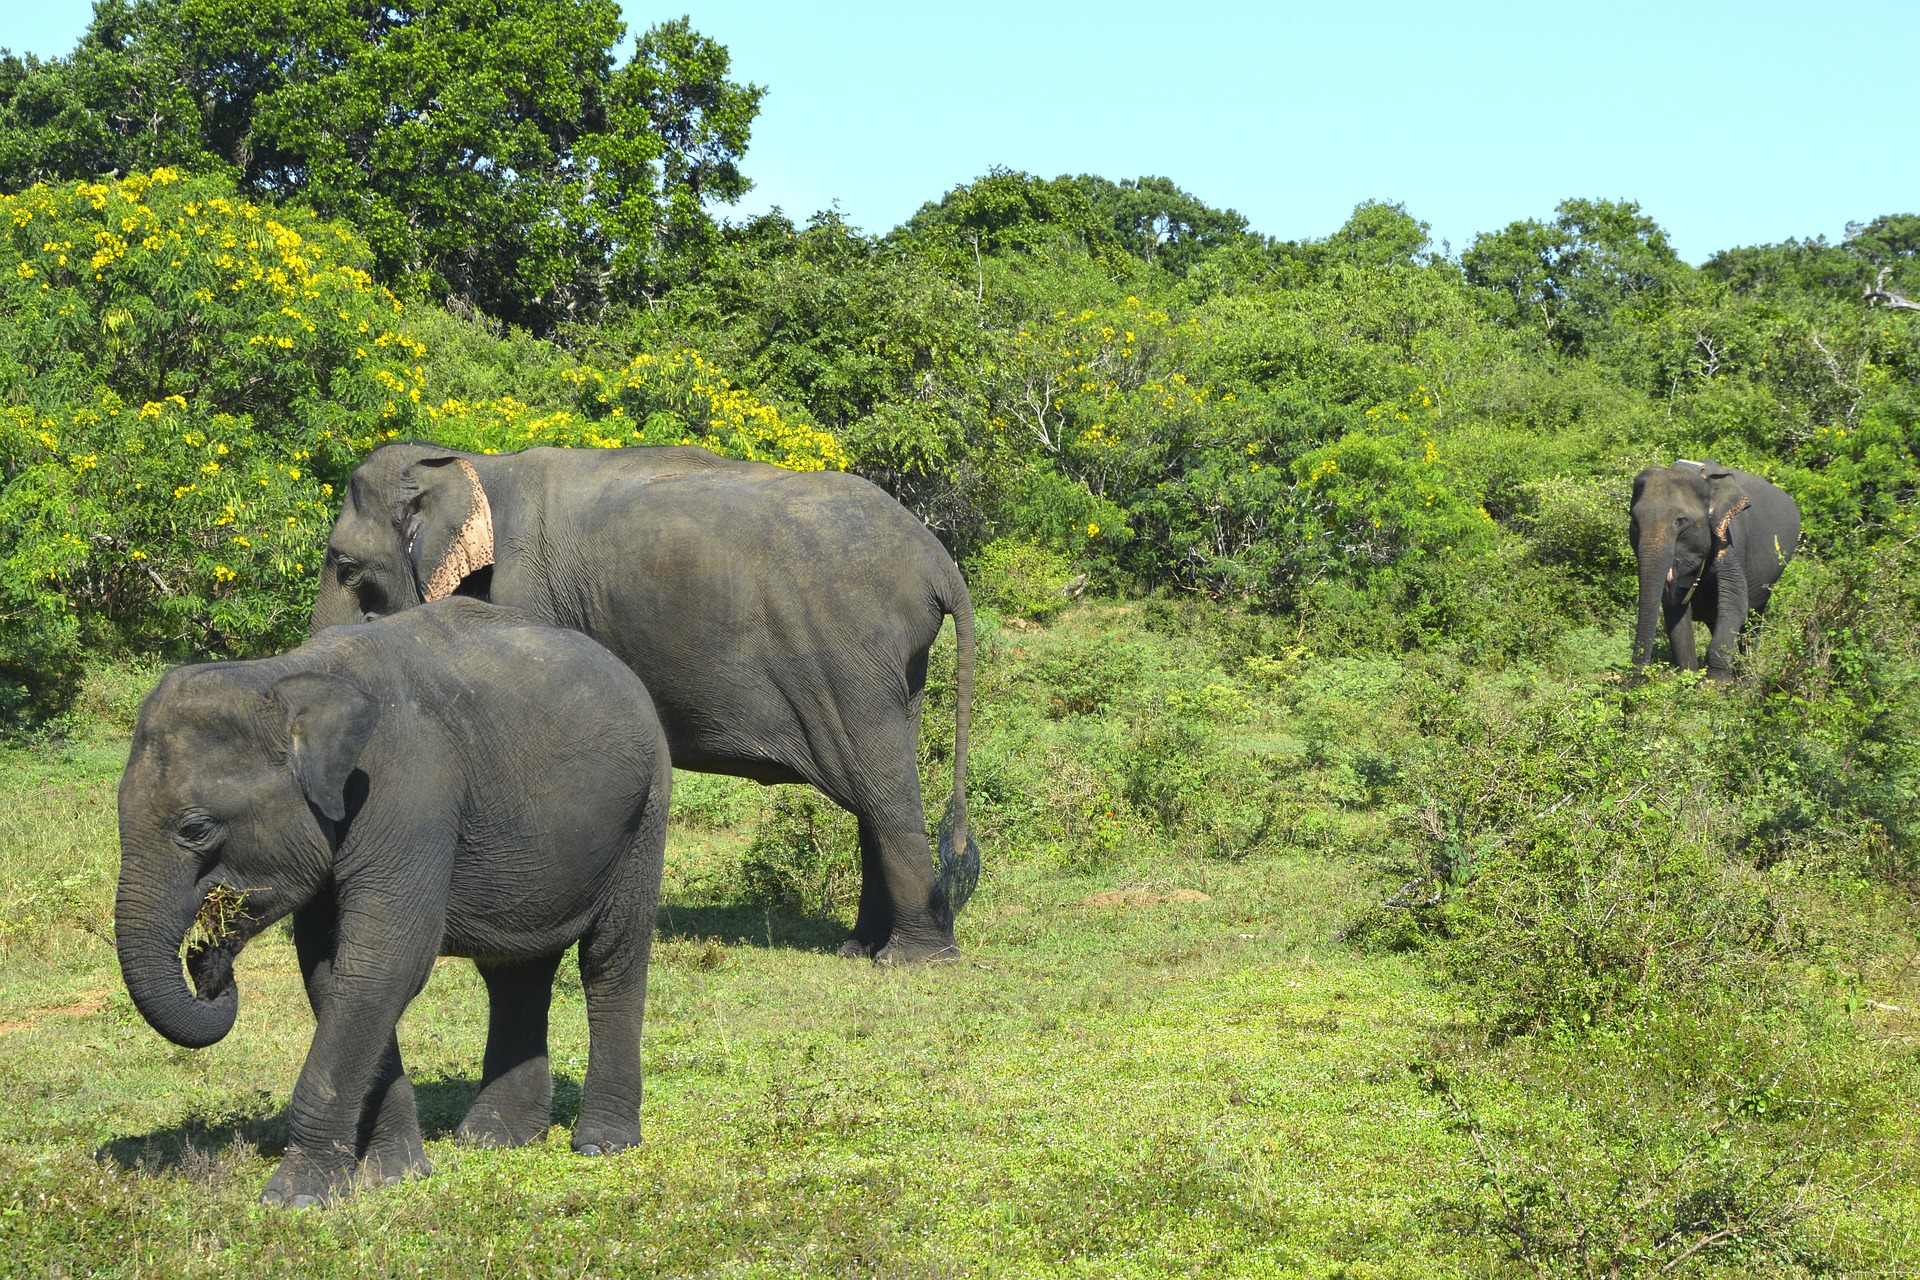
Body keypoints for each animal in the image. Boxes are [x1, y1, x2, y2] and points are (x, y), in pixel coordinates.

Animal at [112, 594, 672, 1205]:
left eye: (195, 829)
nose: (208, 960)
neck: (286, 678)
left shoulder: (408, 795)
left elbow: (385, 963)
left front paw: (295, 1199)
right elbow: (333, 972)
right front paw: (395, 1177)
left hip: (646, 807)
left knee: (610, 957)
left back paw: (600, 1145)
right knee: (515, 971)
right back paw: (494, 1140)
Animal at [312, 445, 983, 967]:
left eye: (345, 566)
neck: (469, 464)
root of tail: (938, 562)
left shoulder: (524, 597)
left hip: (849, 655)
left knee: (882, 789)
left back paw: (911, 960)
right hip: (894, 669)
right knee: (876, 786)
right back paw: (860, 949)